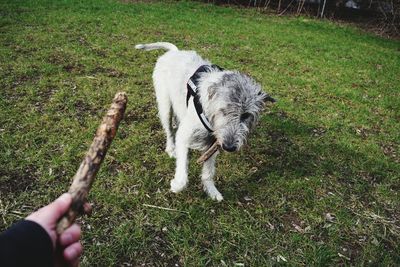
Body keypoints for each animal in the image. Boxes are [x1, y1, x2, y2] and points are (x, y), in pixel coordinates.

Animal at [135, 41, 276, 201]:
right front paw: (177, 184)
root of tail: (174, 52)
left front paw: (211, 190)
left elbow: (208, 172)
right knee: (169, 131)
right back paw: (171, 148)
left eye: (246, 115)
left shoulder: (214, 142)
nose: (229, 147)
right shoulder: (185, 136)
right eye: (223, 110)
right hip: (165, 106)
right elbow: (183, 170)